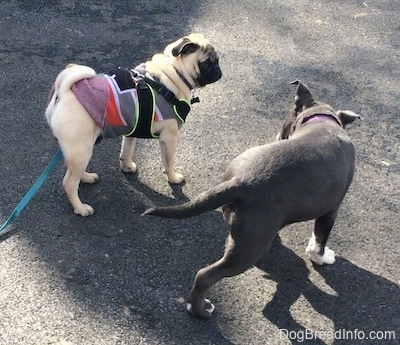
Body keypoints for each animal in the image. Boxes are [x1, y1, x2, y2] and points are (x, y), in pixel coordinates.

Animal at [143, 80, 360, 318]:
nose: (277, 136)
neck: (322, 120)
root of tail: (241, 181)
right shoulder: (332, 209)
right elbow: (320, 239)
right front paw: (321, 257)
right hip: (249, 249)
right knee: (205, 275)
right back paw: (200, 310)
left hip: (243, 233)